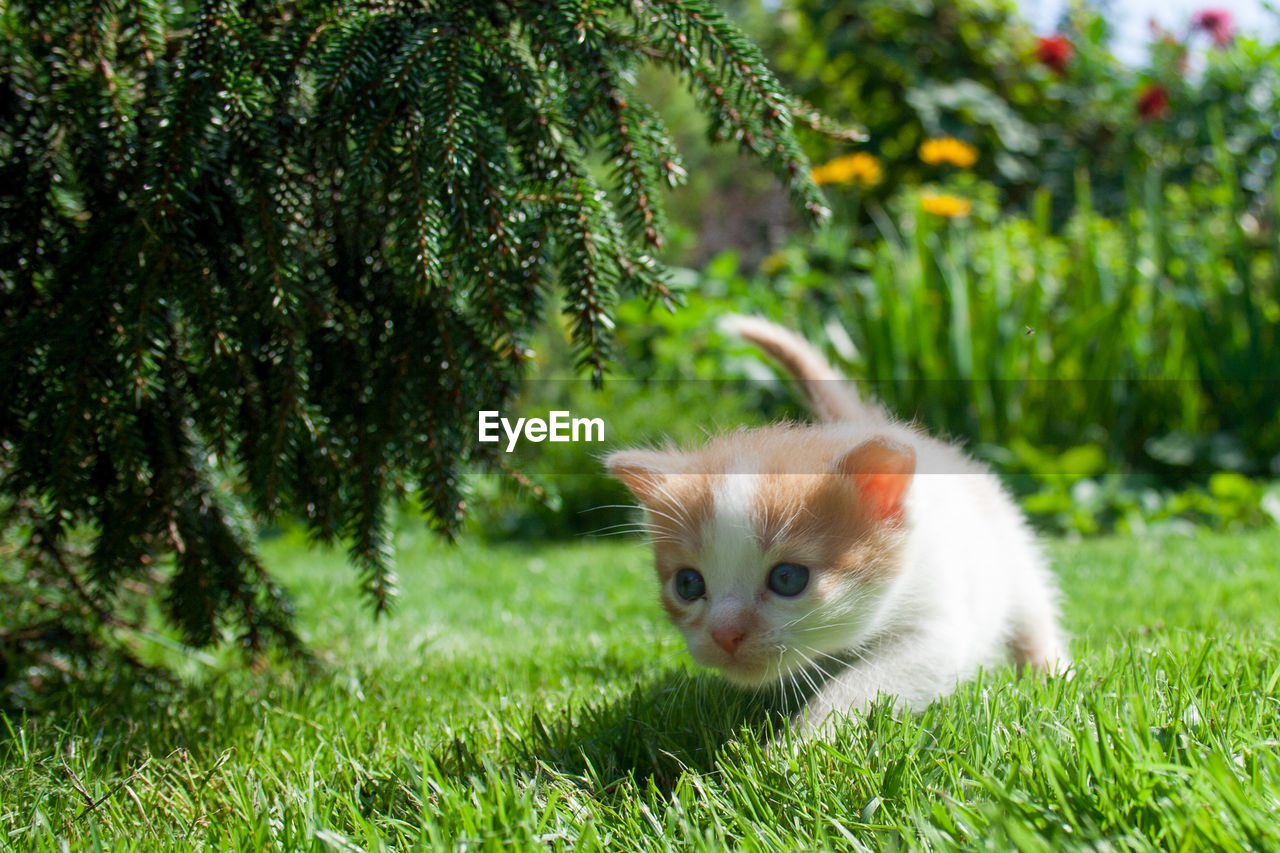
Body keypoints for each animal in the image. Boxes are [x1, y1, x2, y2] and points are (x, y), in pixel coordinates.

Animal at [604, 315, 1064, 732]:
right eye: (688, 584)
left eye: (788, 578)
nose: (724, 634)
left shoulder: (938, 622)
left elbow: (863, 684)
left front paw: (796, 746)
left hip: (1009, 545)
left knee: (1032, 609)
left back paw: (1050, 673)